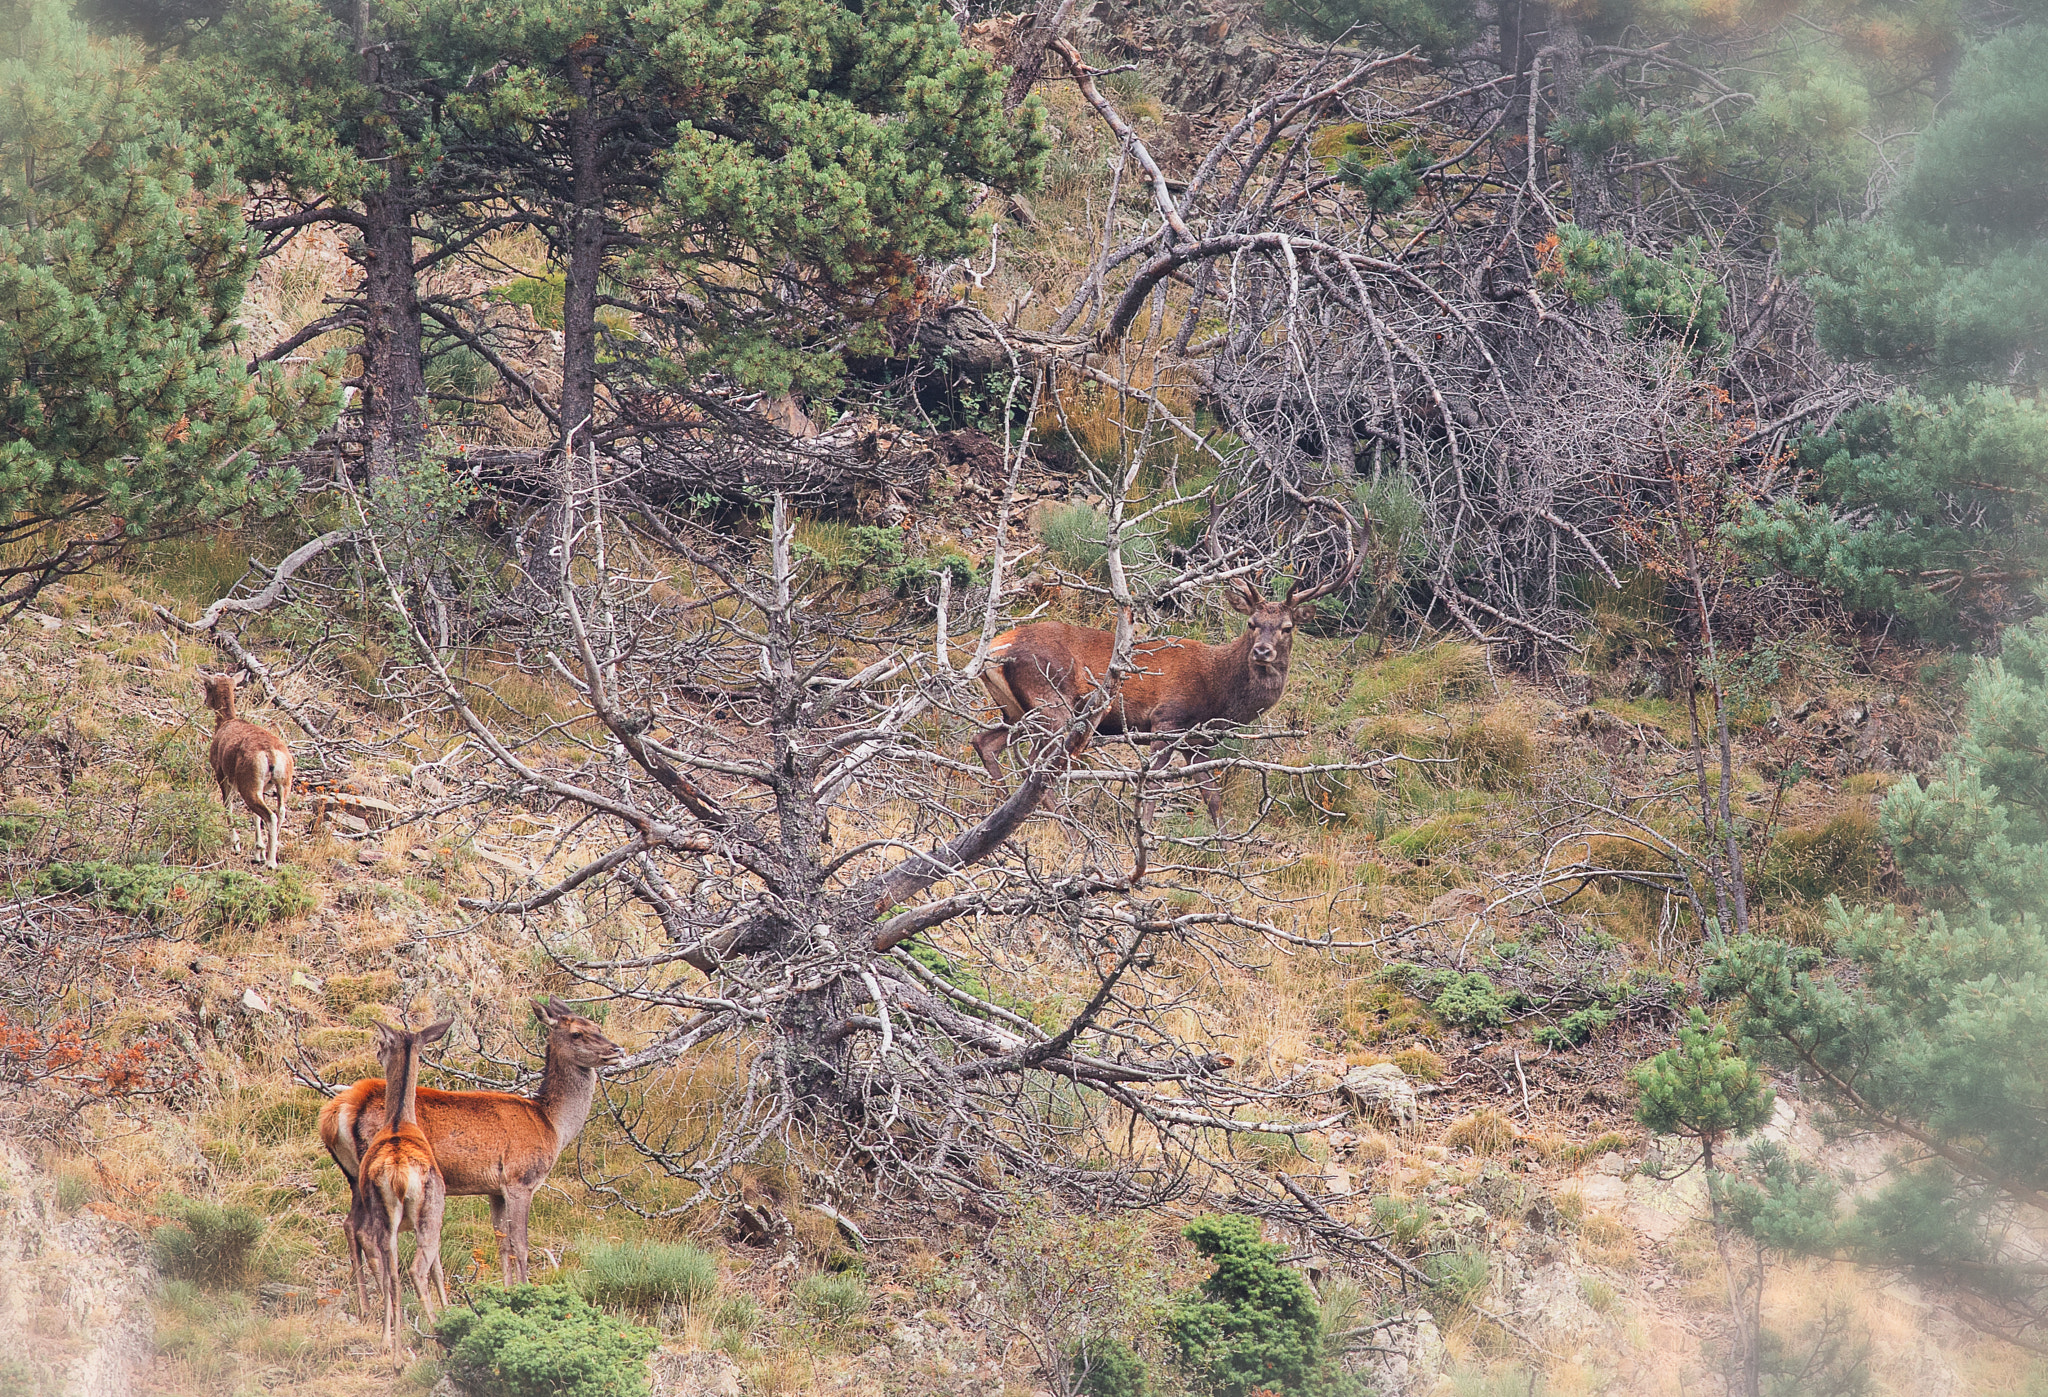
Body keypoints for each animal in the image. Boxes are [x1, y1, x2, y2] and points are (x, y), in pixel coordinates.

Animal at [197, 671, 295, 869]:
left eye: (207, 685)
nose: (205, 702)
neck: (225, 723)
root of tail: (270, 753)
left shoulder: (222, 776)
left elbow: (228, 806)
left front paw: (235, 845)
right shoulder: (262, 788)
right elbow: (255, 818)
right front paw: (258, 852)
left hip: (248, 788)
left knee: (270, 816)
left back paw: (271, 863)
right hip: (280, 785)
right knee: (279, 812)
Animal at [320, 997, 625, 1285]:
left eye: (597, 1026)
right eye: (577, 1033)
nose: (617, 1050)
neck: (551, 1123)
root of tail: (339, 1111)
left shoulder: (495, 1189)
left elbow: (502, 1244)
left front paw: (507, 1290)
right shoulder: (520, 1179)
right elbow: (521, 1245)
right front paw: (526, 1290)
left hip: (354, 1175)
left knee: (350, 1225)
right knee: (369, 1233)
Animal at [348, 1015, 454, 1357]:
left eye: (383, 1043)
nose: (377, 1052)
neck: (399, 1122)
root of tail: (398, 1174)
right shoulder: (438, 1212)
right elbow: (438, 1268)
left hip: (384, 1213)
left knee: (390, 1270)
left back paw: (390, 1345)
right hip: (429, 1212)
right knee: (417, 1268)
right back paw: (437, 1335)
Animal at [973, 516, 1363, 824]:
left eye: (1287, 627)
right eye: (1252, 623)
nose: (1262, 651)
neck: (1219, 695)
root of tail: (996, 649)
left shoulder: (1197, 741)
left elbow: (1213, 797)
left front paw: (1225, 851)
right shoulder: (1166, 719)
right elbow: (1154, 784)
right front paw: (1144, 835)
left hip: (1014, 710)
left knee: (983, 741)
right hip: (1052, 701)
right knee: (1037, 764)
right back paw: (1062, 826)